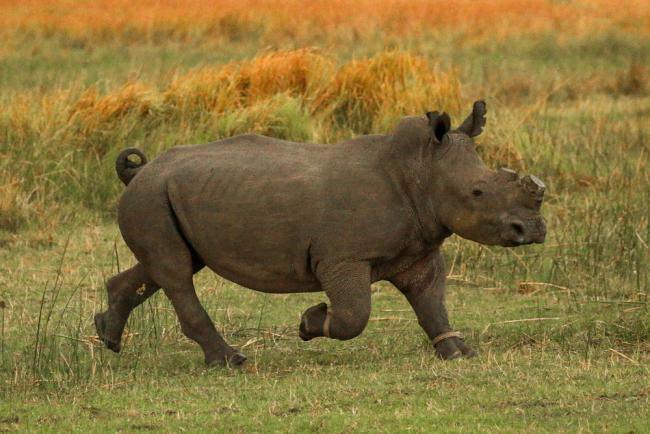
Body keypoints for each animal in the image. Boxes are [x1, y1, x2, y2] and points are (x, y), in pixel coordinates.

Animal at [94, 101, 546, 366]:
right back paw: (231, 362)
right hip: (152, 197)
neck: (422, 169)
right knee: (175, 272)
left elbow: (432, 304)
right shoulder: (342, 257)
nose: (533, 230)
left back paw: (108, 338)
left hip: (163, 198)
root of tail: (139, 172)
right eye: (478, 192)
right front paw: (309, 323)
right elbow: (355, 315)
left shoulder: (418, 250)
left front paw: (459, 353)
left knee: (168, 266)